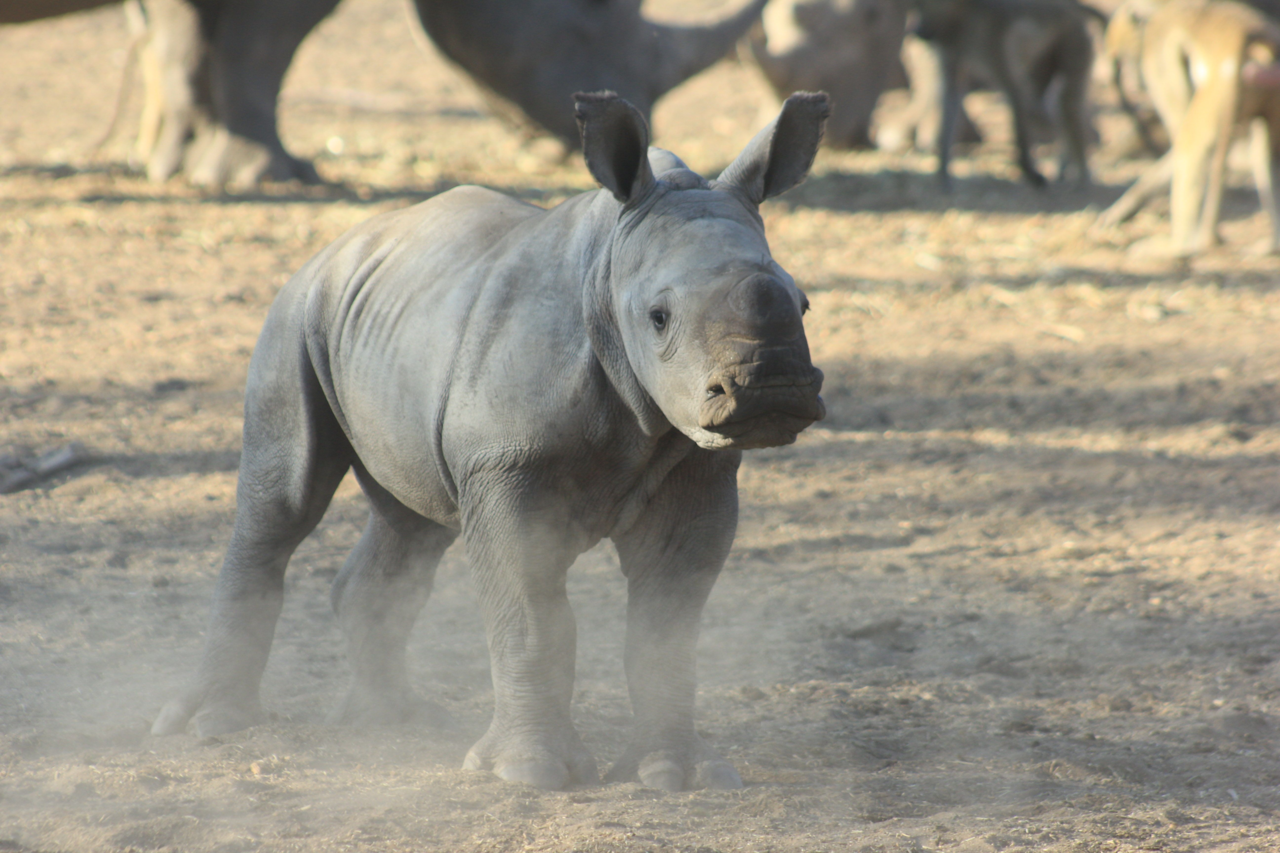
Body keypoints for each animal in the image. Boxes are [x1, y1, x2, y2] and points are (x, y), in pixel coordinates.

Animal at [152, 91, 830, 791]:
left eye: (805, 304)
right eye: (659, 318)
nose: (771, 387)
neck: (609, 268)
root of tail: (339, 244)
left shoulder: (696, 466)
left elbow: (666, 627)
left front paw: (677, 776)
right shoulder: (508, 463)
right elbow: (533, 613)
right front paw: (529, 775)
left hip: (393, 327)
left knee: (413, 522)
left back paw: (396, 723)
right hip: (296, 312)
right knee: (285, 504)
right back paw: (212, 726)